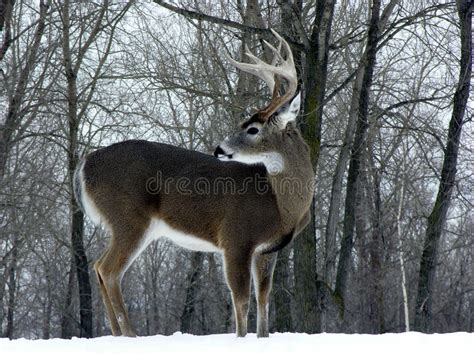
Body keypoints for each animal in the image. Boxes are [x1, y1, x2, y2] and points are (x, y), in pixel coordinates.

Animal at [75, 30, 314, 340]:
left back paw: (118, 334)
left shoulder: (268, 250)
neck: (282, 204)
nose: (219, 149)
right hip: (128, 217)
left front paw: (262, 338)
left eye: (253, 128)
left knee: (98, 266)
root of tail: (84, 163)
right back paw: (131, 334)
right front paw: (240, 339)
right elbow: (241, 300)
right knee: (109, 270)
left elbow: (263, 299)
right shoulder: (235, 237)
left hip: (127, 225)